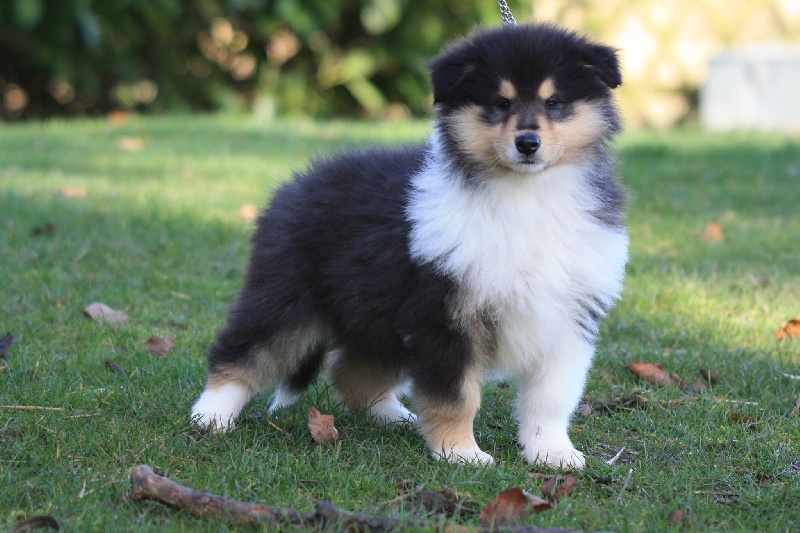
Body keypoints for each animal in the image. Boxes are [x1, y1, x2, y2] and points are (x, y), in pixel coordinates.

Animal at [191, 22, 627, 469]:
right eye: (500, 103)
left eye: (553, 102)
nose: (527, 143)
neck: (525, 193)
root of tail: (298, 184)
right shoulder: (445, 314)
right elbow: (457, 396)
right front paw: (461, 453)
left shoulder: (567, 317)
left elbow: (551, 398)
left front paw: (552, 453)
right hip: (287, 297)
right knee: (241, 351)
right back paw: (211, 416)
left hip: (379, 313)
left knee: (350, 370)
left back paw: (394, 416)